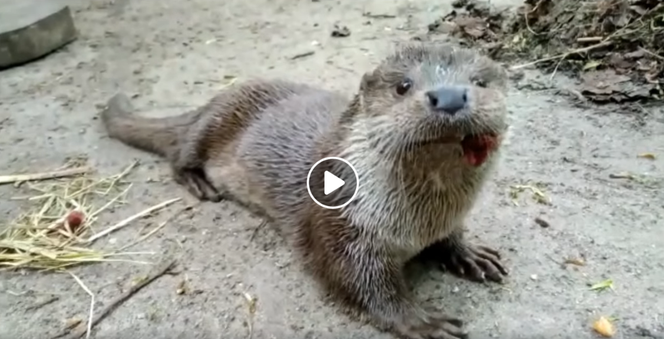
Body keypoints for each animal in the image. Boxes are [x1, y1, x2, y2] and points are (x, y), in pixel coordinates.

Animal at [101, 43, 510, 339]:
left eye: (480, 82)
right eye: (403, 86)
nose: (450, 97)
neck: (420, 222)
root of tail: (207, 103)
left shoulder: (445, 219)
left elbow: (452, 237)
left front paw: (469, 253)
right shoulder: (343, 225)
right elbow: (361, 282)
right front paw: (421, 320)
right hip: (213, 121)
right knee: (180, 150)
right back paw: (198, 181)